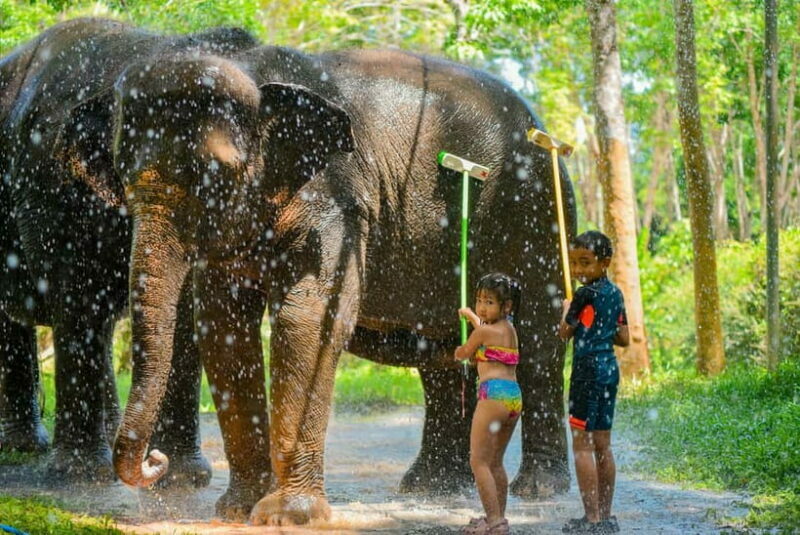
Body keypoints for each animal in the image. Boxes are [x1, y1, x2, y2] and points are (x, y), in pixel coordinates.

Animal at [0, 17, 262, 484]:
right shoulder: (50, 185)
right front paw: (81, 476)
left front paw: (183, 478)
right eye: (126, 170)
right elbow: (77, 295)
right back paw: (30, 449)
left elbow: (186, 310)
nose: (152, 461)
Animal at [98, 25, 576, 524]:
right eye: (121, 173)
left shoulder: (337, 198)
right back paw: (433, 488)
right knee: (443, 351)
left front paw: (288, 516)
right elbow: (224, 327)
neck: (254, 70)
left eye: (213, 174)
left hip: (535, 207)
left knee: (537, 340)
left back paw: (537, 489)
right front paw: (238, 510)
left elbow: (309, 318)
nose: (154, 461)